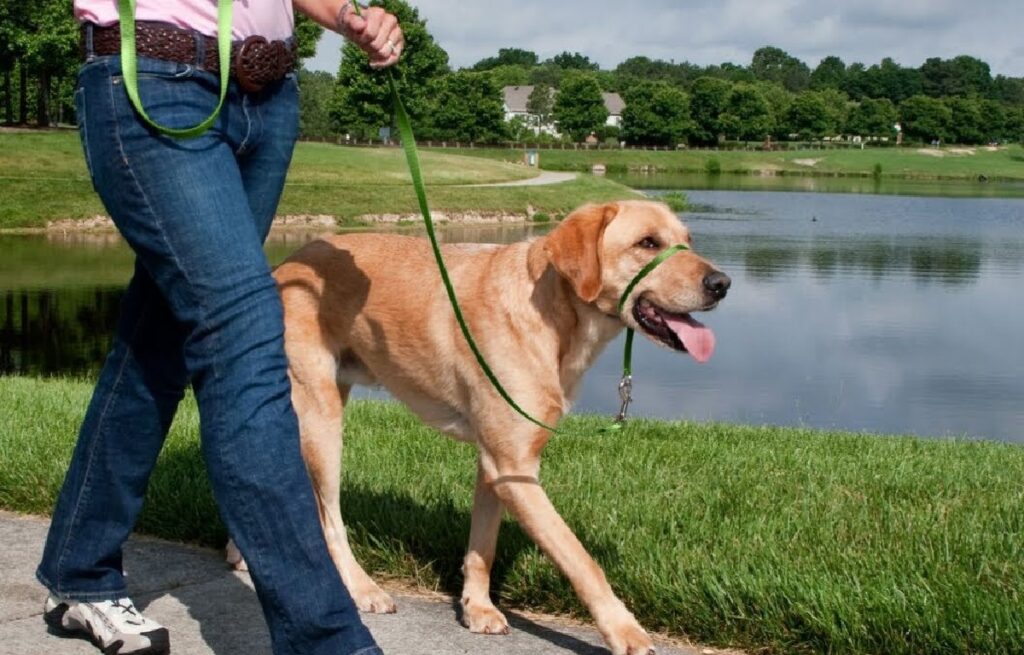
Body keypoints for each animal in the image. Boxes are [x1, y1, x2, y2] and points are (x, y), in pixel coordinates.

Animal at [232, 199, 729, 655]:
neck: (553, 316)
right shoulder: (515, 468)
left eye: (688, 240)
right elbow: (580, 558)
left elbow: (483, 545)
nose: (722, 284)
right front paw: (624, 630)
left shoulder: (497, 463)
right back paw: (361, 588)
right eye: (648, 243)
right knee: (328, 519)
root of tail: (288, 262)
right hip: (321, 419)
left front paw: (477, 607)